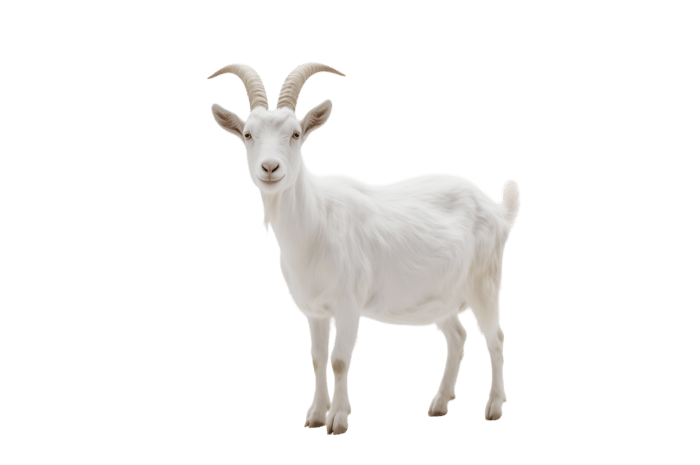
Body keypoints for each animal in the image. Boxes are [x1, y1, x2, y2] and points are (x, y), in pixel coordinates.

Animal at [208, 62, 521, 436]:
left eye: (296, 134)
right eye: (247, 134)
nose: (270, 168)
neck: (315, 223)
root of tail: (498, 210)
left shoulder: (348, 303)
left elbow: (340, 360)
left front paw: (338, 420)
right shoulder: (314, 311)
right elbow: (316, 358)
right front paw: (315, 415)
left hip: (484, 283)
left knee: (496, 337)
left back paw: (494, 407)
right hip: (440, 297)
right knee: (457, 337)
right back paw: (439, 404)